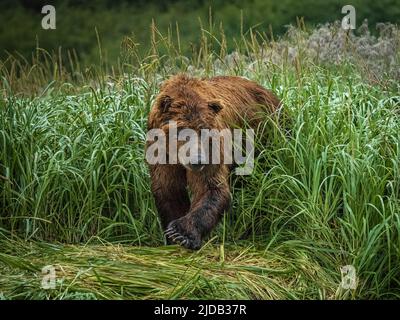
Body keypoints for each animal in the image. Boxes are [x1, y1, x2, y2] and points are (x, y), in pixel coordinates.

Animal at [145, 74, 280, 250]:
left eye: (203, 130)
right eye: (182, 131)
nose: (198, 160)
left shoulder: (213, 147)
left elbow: (210, 187)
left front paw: (182, 233)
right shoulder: (160, 151)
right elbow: (169, 189)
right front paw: (172, 235)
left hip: (265, 134)